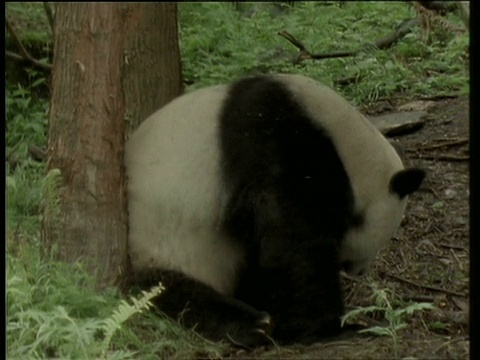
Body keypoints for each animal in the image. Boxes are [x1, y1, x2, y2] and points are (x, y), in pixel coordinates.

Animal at [124, 74, 424, 348]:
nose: (360, 271)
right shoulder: (279, 145)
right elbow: (292, 244)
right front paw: (331, 328)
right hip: (162, 242)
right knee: (173, 291)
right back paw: (252, 325)